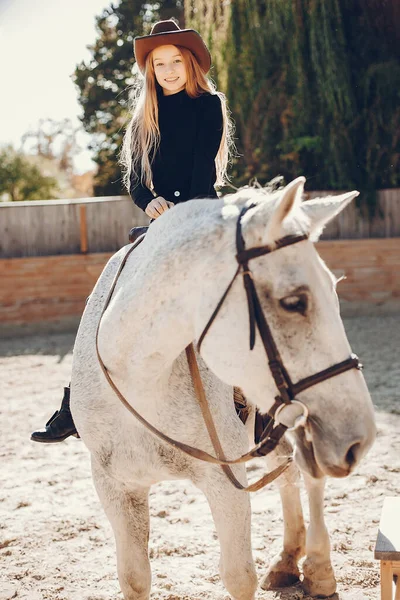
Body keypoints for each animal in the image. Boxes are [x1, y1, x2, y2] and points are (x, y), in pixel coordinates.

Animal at [71, 178, 376, 600]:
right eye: (293, 301)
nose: (360, 437)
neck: (141, 377)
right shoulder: (115, 487)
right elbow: (134, 579)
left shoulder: (226, 484)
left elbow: (238, 576)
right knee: (289, 470)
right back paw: (287, 561)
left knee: (309, 474)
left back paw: (318, 568)